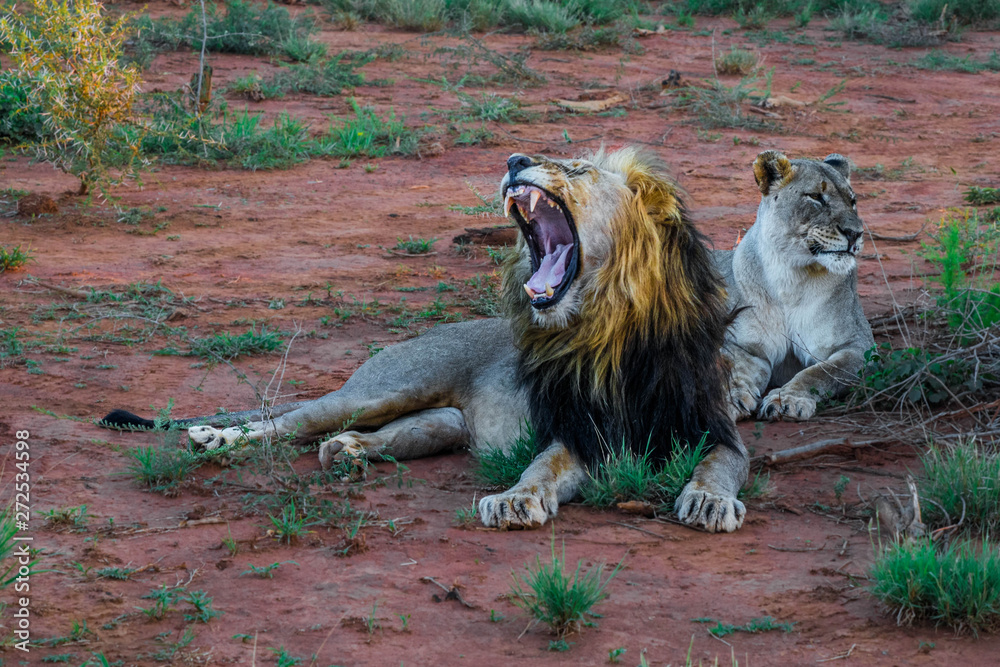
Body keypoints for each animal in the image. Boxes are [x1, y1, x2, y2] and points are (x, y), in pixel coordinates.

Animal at [101, 147, 749, 533]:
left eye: (578, 169)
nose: (515, 157)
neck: (609, 330)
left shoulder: (715, 430)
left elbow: (719, 466)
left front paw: (709, 502)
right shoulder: (575, 430)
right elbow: (543, 466)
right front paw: (514, 499)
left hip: (439, 423)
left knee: (349, 439)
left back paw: (348, 456)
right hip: (379, 391)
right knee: (284, 423)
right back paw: (213, 439)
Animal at [715, 150, 875, 422]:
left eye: (852, 201)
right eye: (816, 197)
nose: (855, 233)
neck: (791, 276)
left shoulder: (857, 345)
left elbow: (820, 374)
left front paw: (787, 400)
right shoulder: (744, 346)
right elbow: (733, 371)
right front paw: (731, 399)